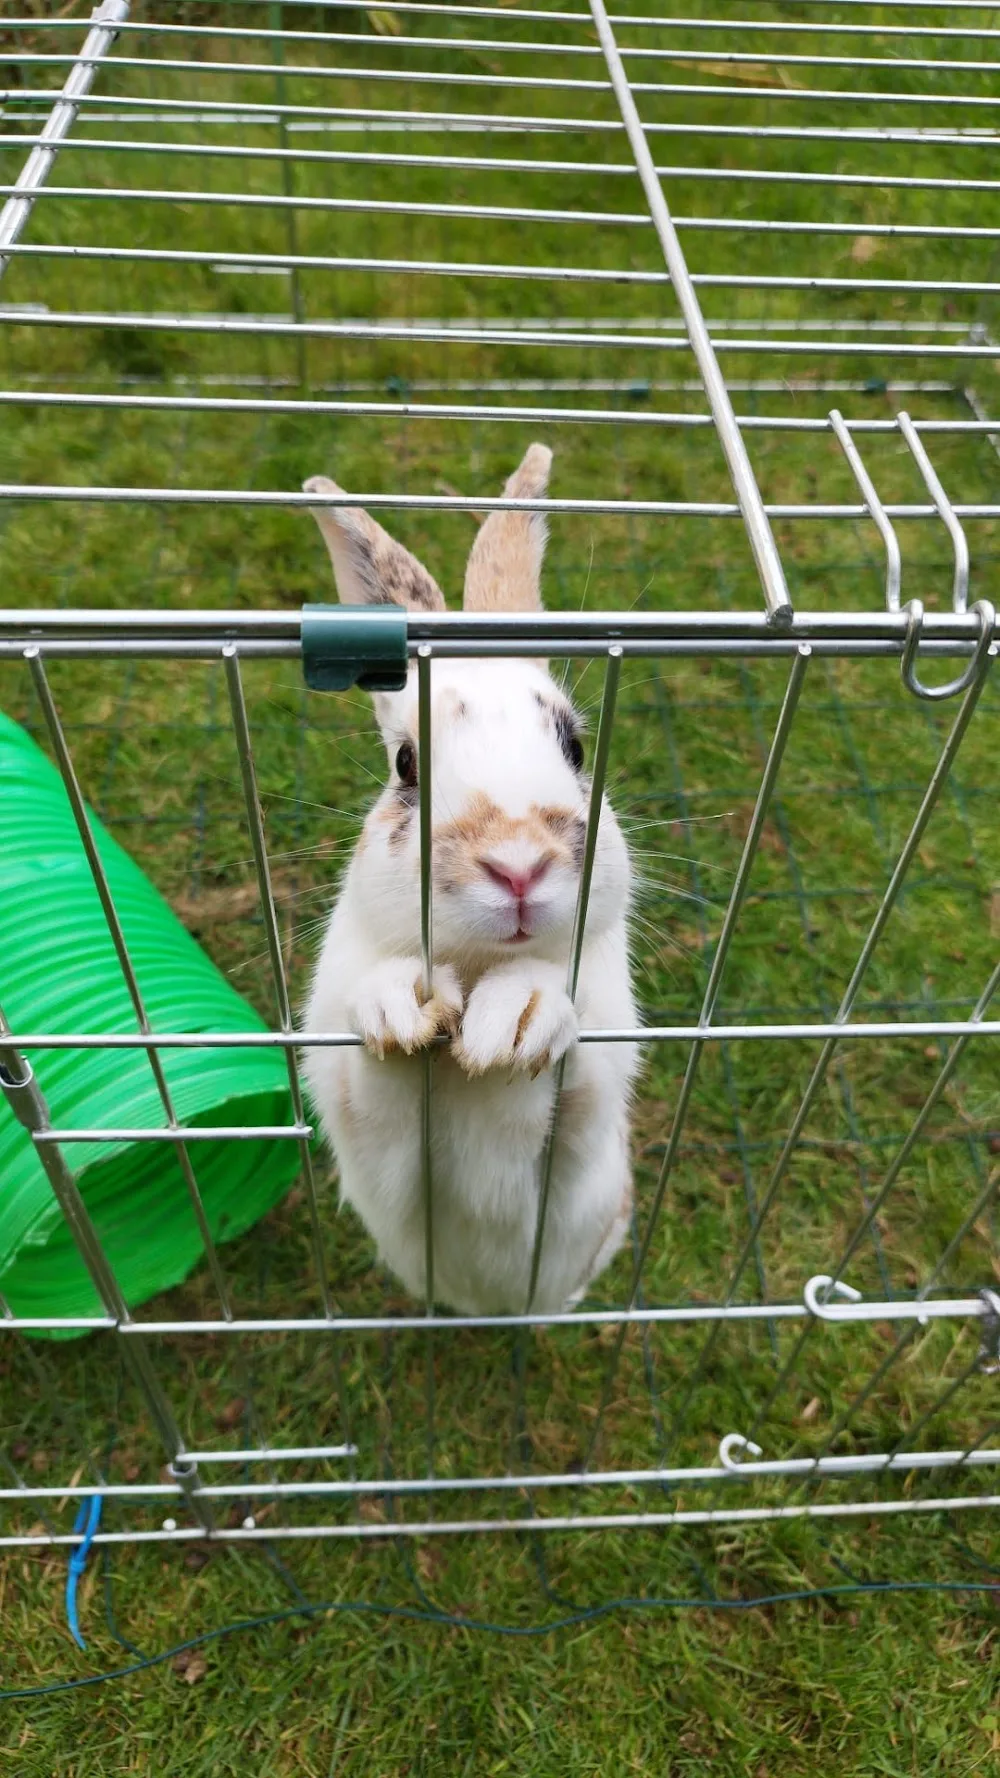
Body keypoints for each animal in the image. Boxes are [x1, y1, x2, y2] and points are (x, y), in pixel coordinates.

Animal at [300, 444, 639, 1315]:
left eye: (575, 745)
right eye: (405, 765)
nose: (518, 865)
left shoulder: (592, 1116)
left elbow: (573, 1091)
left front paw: (513, 1022)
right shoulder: (358, 1118)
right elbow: (374, 1080)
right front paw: (408, 1006)